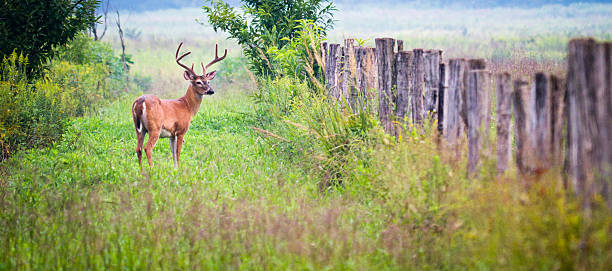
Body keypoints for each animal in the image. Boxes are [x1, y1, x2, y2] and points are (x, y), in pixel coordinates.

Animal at [131, 42, 227, 170]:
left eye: (208, 81)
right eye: (198, 82)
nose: (211, 91)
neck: (187, 106)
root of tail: (140, 101)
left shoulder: (172, 134)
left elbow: (173, 153)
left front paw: (175, 169)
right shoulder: (181, 130)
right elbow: (178, 152)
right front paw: (179, 170)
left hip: (139, 129)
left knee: (139, 149)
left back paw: (141, 171)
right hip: (155, 128)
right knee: (148, 148)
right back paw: (152, 169)